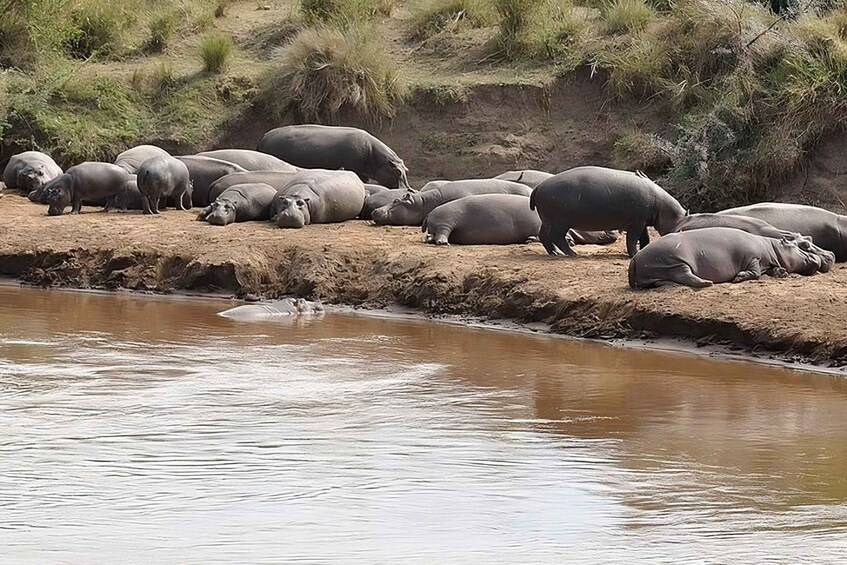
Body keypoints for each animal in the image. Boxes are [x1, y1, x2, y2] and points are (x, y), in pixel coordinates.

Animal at [257, 125, 411, 189]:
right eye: (398, 171)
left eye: (406, 170)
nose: (410, 189)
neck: (374, 155)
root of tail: (263, 136)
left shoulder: (364, 174)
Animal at [529, 166, 686, 257]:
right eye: (684, 217)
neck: (661, 205)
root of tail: (539, 187)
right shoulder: (636, 222)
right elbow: (632, 239)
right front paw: (634, 254)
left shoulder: (641, 221)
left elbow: (645, 238)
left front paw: (643, 250)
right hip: (560, 222)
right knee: (556, 236)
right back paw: (573, 254)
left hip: (547, 219)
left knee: (543, 236)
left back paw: (554, 253)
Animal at [628, 227, 833, 289]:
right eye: (800, 246)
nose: (818, 259)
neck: (772, 247)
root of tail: (634, 258)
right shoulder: (752, 257)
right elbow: (755, 272)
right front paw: (739, 277)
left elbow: (770, 270)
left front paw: (780, 272)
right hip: (674, 261)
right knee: (686, 275)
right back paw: (707, 282)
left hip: (662, 270)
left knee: (664, 281)